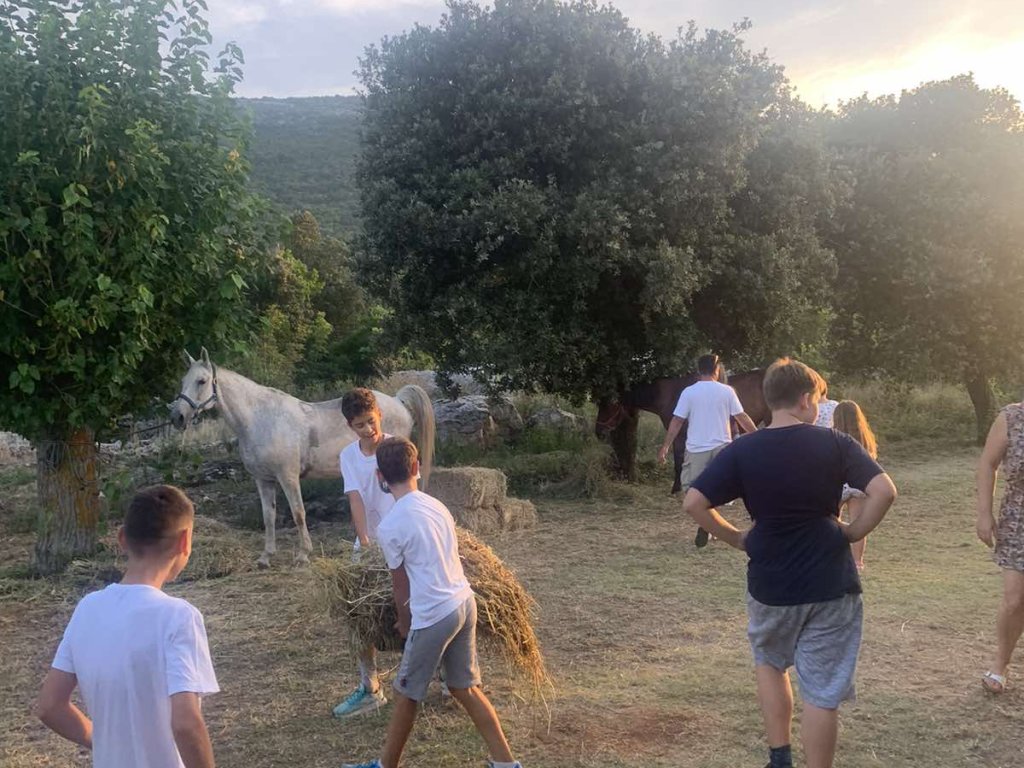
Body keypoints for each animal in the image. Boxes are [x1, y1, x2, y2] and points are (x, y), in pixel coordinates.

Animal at [169, 352, 434, 569]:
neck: (261, 419)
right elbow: (269, 516)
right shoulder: (263, 480)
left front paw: (303, 554)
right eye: (182, 381)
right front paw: (266, 557)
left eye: (201, 381)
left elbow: (298, 513)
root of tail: (397, 401)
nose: (177, 417)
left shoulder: (288, 477)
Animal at [593, 370, 770, 493]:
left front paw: (676, 488)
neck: (669, 395)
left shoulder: (679, 435)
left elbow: (678, 461)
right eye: (599, 404)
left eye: (611, 404)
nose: (598, 432)